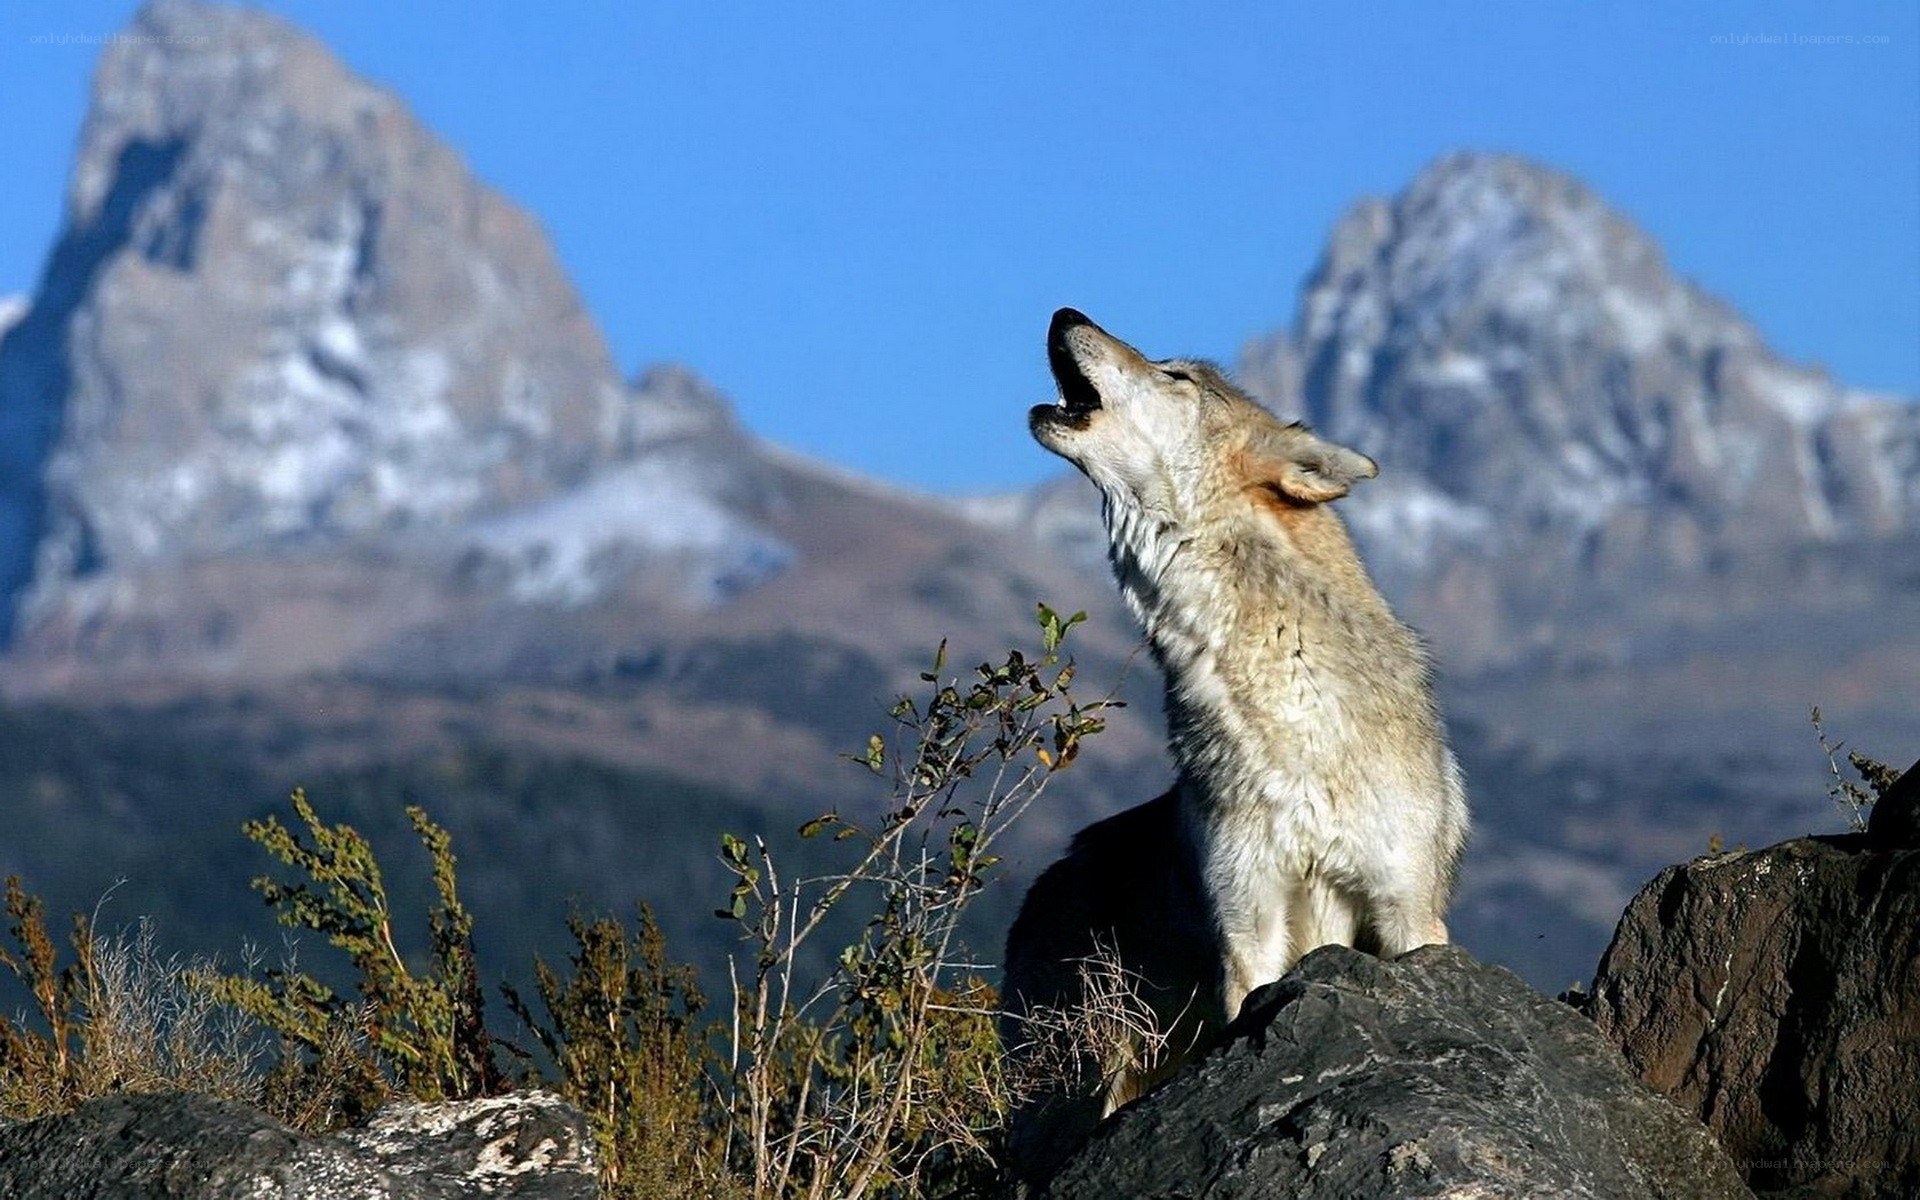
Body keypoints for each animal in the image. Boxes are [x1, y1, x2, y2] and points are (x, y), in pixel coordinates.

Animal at [1001, 308, 1468, 1183]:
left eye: (1177, 376)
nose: (1065, 315)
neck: (1290, 716)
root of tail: (1044, 885)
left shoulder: (1406, 912)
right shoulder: (1247, 926)